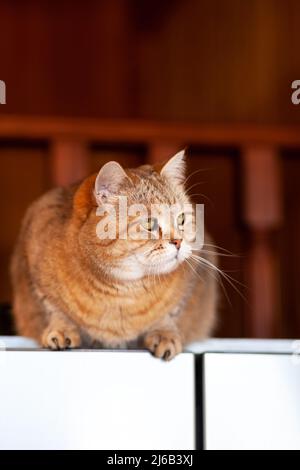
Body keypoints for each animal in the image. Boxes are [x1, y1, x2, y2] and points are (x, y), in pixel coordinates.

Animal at [10, 151, 217, 360]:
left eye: (182, 219)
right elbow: (55, 310)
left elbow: (169, 315)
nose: (178, 242)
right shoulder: (34, 267)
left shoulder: (191, 285)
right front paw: (62, 330)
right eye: (149, 223)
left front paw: (164, 334)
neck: (124, 290)